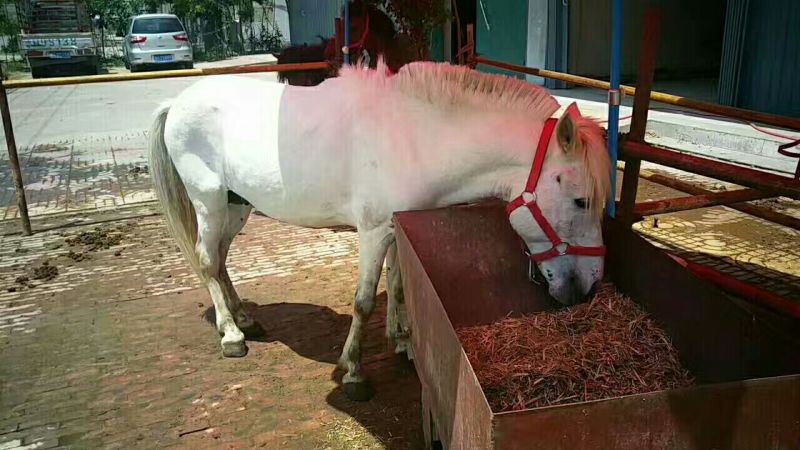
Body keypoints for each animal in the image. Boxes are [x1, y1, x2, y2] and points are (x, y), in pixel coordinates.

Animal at [147, 59, 611, 401]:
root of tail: (179, 101)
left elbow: (400, 284)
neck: (417, 138)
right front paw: (354, 371)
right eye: (581, 201)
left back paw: (245, 318)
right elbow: (365, 301)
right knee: (208, 260)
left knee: (222, 258)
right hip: (208, 201)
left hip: (236, 205)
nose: (587, 288)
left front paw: (403, 342)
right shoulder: (373, 232)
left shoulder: (396, 229)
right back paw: (231, 335)